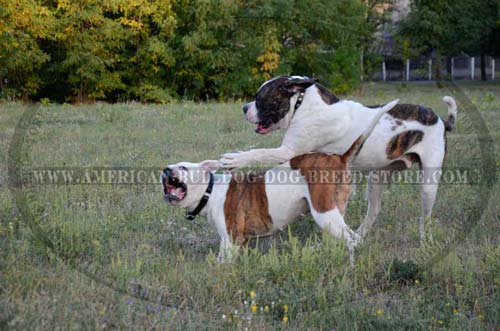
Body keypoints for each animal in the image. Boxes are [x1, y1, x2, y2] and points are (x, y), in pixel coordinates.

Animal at [162, 107, 388, 264]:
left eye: (182, 167)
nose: (165, 170)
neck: (210, 191)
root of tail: (339, 158)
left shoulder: (230, 241)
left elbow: (221, 264)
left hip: (324, 212)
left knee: (353, 240)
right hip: (335, 212)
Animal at [220, 76, 458, 240]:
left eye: (261, 98)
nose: (244, 108)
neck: (303, 104)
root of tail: (440, 120)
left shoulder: (287, 151)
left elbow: (258, 152)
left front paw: (233, 159)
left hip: (428, 184)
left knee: (425, 218)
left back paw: (425, 240)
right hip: (377, 179)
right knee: (373, 212)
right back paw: (360, 237)